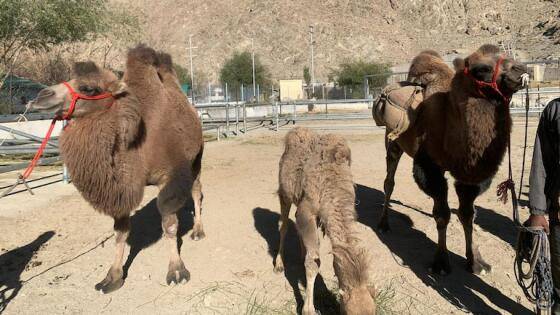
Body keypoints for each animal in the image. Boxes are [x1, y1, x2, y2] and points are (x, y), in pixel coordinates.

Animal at [29, 45, 205, 294]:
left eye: (89, 88)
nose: (41, 96)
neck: (137, 143)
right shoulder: (120, 187)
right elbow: (120, 231)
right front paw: (111, 277)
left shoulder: (168, 176)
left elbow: (169, 225)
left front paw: (177, 271)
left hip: (196, 158)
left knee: (196, 191)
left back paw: (198, 231)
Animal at [274, 128, 374, 315]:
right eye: (347, 312)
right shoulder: (308, 210)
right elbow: (314, 262)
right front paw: (308, 309)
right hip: (284, 192)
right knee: (283, 225)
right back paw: (279, 264)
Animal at [378, 43, 528, 276]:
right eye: (482, 69)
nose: (520, 69)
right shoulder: (429, 167)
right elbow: (442, 214)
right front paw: (441, 262)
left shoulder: (470, 175)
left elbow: (467, 214)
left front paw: (476, 262)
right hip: (392, 140)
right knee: (389, 181)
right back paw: (384, 224)